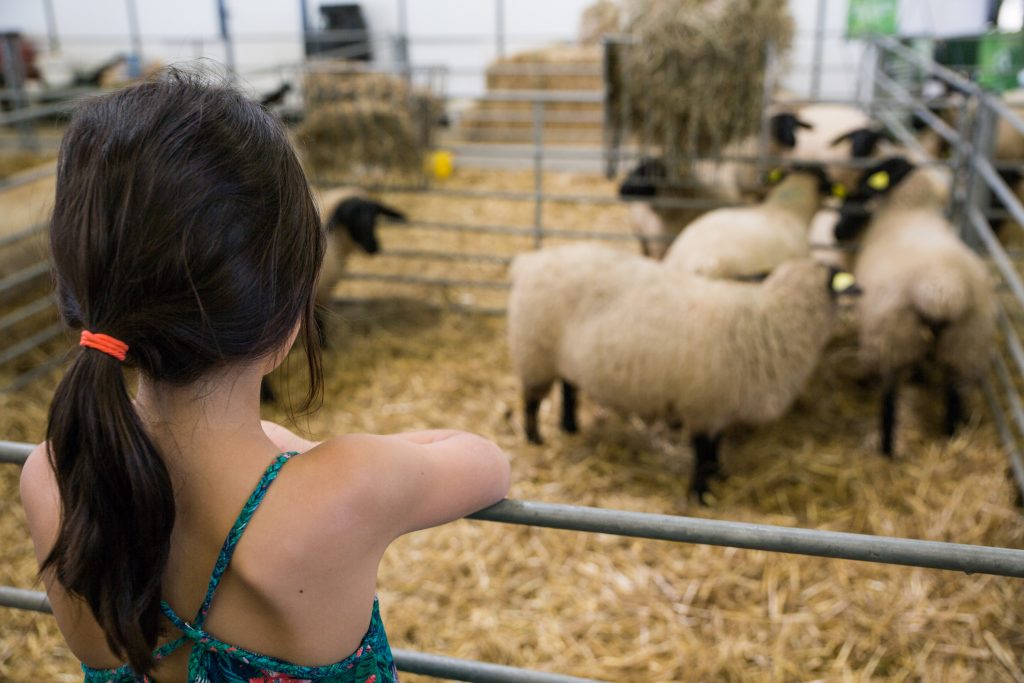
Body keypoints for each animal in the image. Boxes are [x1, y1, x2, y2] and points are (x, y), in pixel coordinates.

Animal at [505, 242, 856, 499]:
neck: (769, 320)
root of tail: (532, 260)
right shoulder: (704, 405)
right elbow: (702, 450)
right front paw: (700, 493)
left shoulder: (720, 407)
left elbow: (716, 446)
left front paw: (719, 474)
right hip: (535, 353)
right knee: (532, 400)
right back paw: (535, 438)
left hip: (562, 357)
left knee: (568, 388)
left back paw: (569, 426)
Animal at [831, 157, 991, 456]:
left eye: (862, 191)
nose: (837, 231)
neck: (911, 209)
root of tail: (942, 287)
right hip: (964, 342)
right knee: (953, 392)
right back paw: (951, 436)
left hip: (893, 339)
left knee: (889, 399)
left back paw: (887, 449)